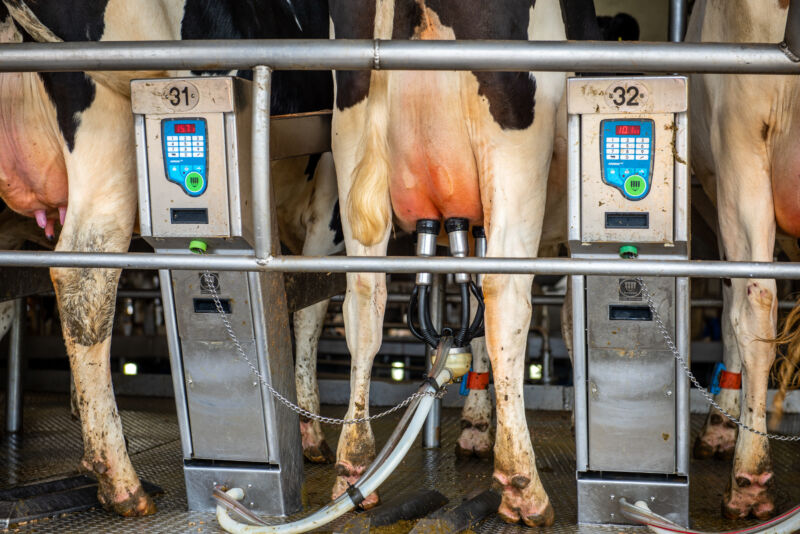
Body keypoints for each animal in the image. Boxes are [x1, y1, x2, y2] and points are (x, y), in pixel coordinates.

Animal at [0, 0, 340, 520]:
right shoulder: (330, 196)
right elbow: (314, 306)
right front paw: (313, 432)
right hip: (108, 123)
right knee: (84, 276)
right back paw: (120, 480)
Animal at [328, 0, 596, 528]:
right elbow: (564, 321)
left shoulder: (467, 222)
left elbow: (472, 331)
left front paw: (474, 424)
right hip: (515, 148)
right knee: (505, 299)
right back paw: (522, 485)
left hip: (350, 141)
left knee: (365, 300)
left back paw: (355, 467)